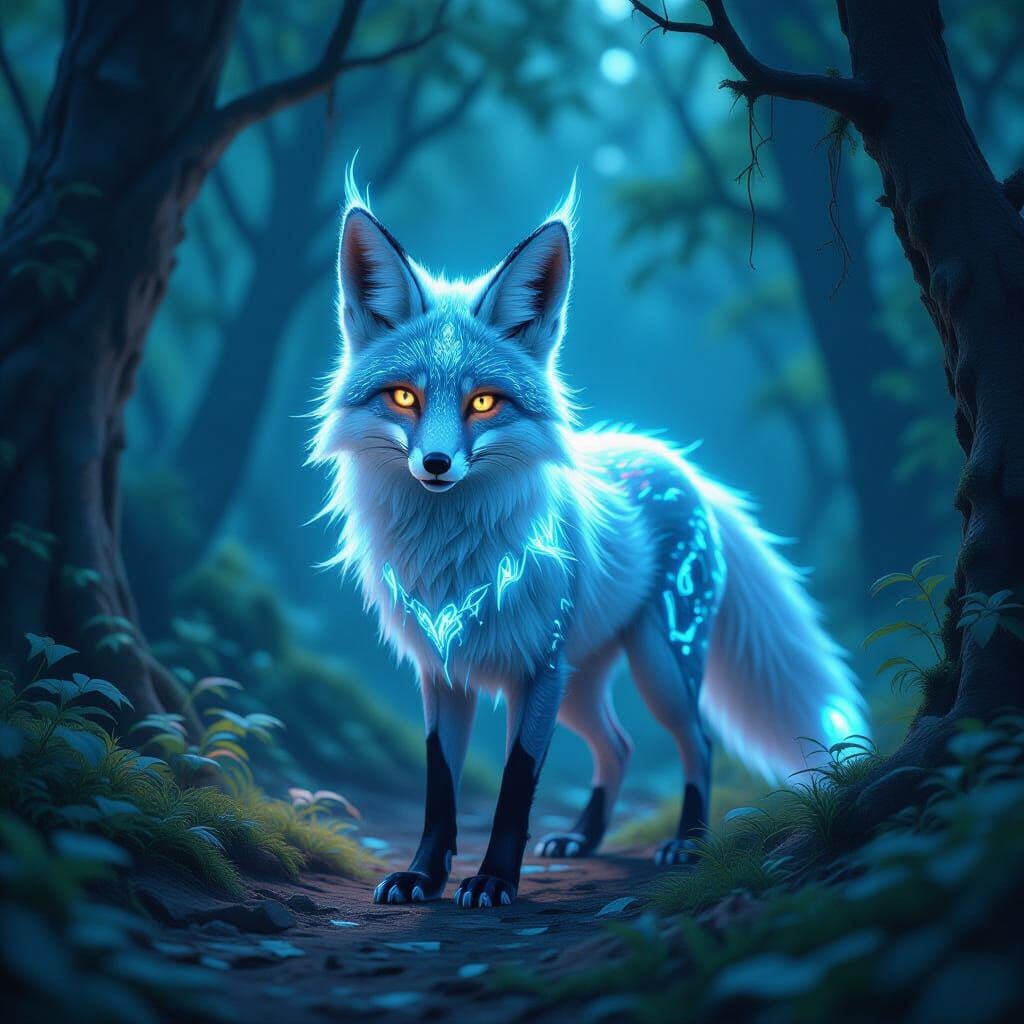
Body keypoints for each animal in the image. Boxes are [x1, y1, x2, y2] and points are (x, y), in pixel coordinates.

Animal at [311, 177, 868, 909]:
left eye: (484, 403)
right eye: (404, 397)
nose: (435, 464)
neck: (454, 556)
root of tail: (677, 461)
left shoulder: (538, 670)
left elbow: (516, 785)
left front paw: (493, 880)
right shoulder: (442, 670)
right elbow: (440, 787)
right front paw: (423, 876)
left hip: (658, 667)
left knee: (699, 741)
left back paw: (687, 843)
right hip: (582, 687)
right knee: (620, 745)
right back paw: (583, 837)